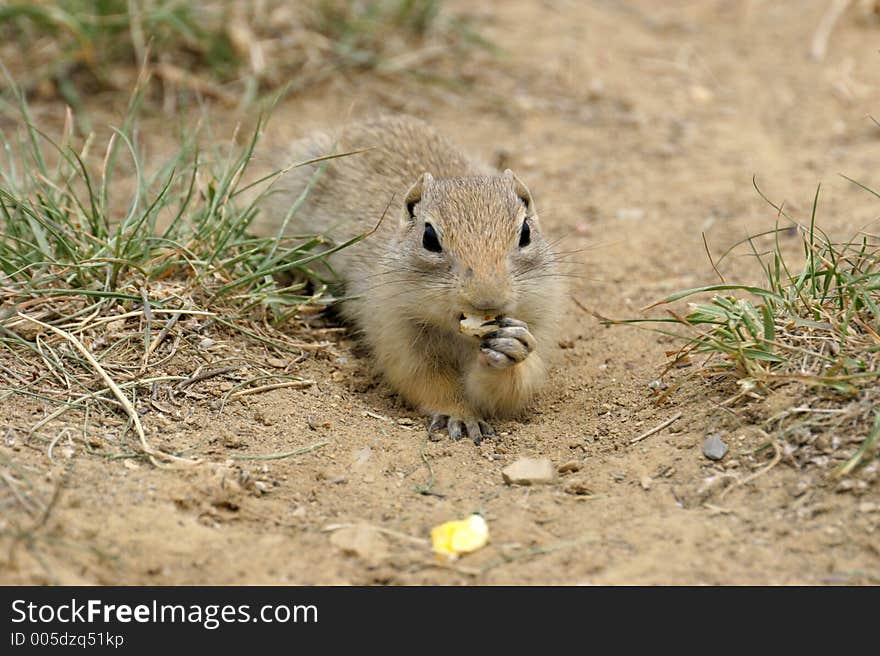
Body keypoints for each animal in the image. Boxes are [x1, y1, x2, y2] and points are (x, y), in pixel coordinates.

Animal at [264, 115, 564, 444]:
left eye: (526, 232)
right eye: (429, 238)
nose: (487, 299)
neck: (459, 336)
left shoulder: (542, 317)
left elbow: (517, 388)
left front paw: (513, 347)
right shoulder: (396, 331)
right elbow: (426, 380)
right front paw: (461, 417)